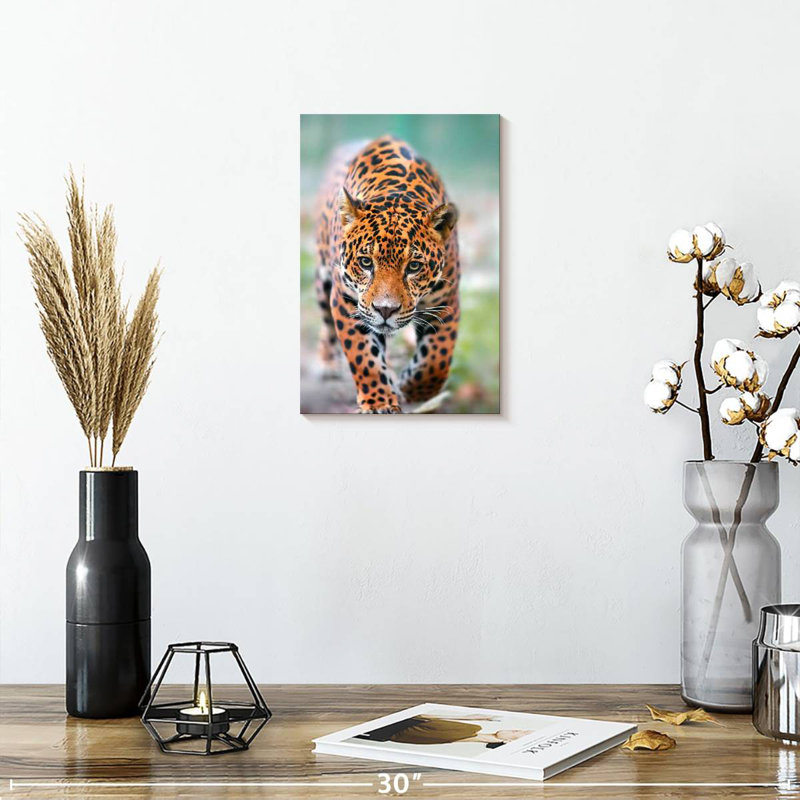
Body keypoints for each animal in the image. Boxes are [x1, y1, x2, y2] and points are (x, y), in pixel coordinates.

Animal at [313, 135, 460, 413]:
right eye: (365, 262)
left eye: (413, 267)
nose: (385, 310)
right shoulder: (347, 302)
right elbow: (363, 357)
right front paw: (379, 402)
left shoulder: (446, 302)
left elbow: (437, 359)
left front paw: (411, 389)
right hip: (322, 280)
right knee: (326, 323)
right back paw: (327, 363)